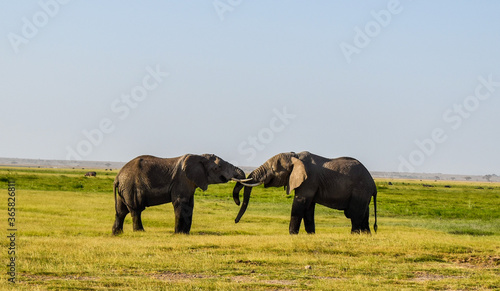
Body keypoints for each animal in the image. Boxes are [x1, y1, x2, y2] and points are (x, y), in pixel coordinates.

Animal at [113, 154, 246, 236]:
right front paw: (178, 234)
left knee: (121, 211)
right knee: (136, 210)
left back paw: (117, 234)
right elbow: (180, 203)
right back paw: (140, 232)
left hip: (125, 188)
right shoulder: (182, 180)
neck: (199, 156)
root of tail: (117, 177)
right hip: (131, 187)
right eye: (218, 167)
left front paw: (185, 234)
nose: (236, 221)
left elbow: (189, 205)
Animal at [232, 152, 376, 236]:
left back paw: (354, 235)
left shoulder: (309, 179)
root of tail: (373, 184)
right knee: (364, 213)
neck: (295, 156)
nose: (235, 221)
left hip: (360, 190)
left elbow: (300, 202)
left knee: (355, 214)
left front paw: (292, 234)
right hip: (364, 194)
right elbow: (309, 207)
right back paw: (366, 235)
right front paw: (311, 235)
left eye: (273, 169)